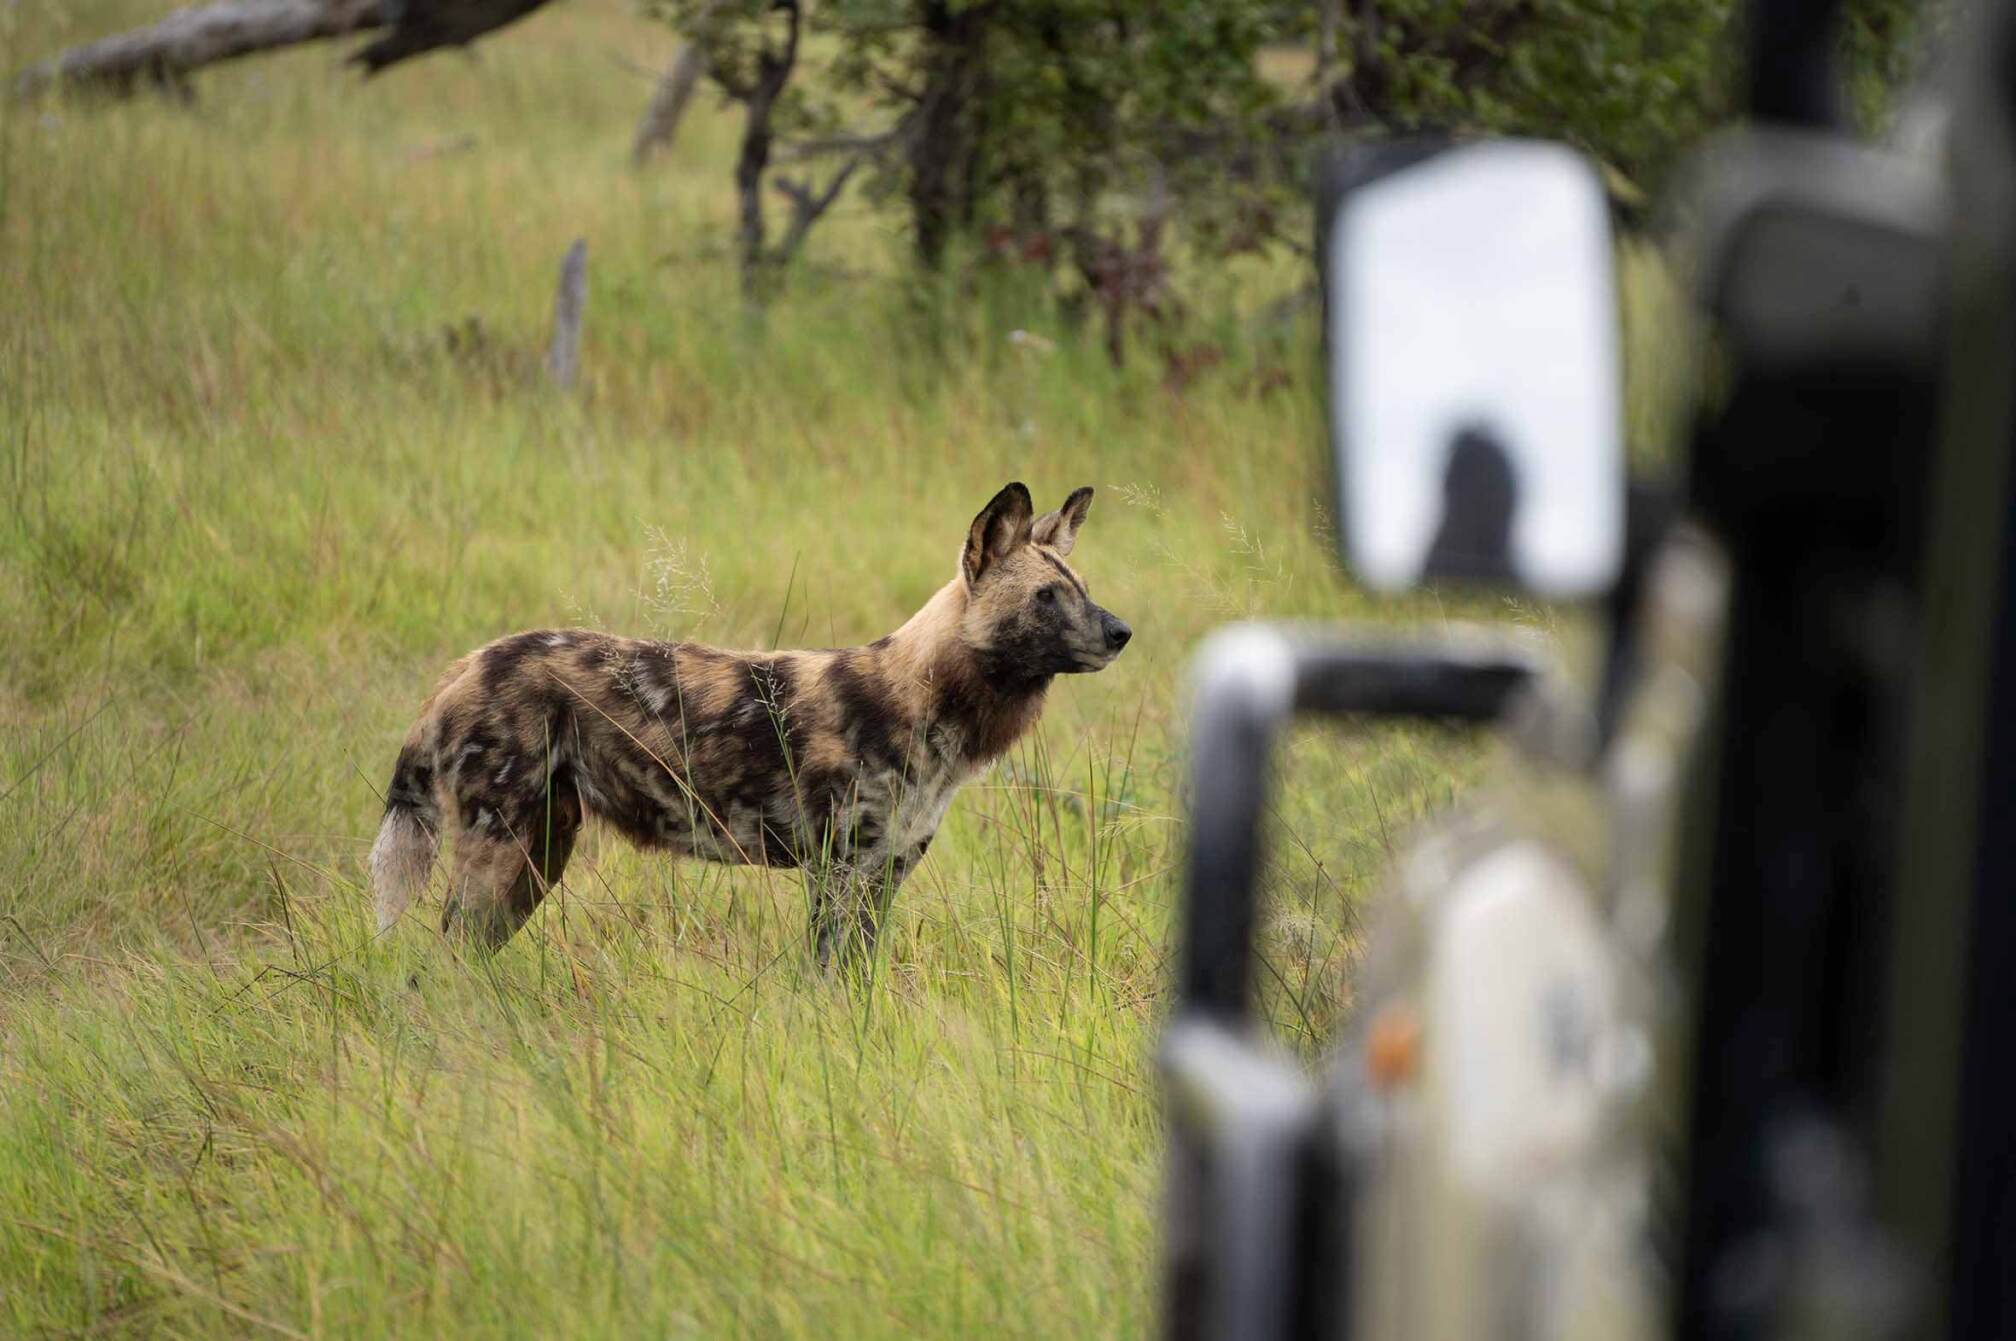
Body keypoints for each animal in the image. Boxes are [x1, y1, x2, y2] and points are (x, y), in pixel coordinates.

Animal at [370, 481, 1128, 963]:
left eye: (1084, 590)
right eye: (1046, 597)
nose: (1121, 632)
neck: (925, 701)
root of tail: (466, 665)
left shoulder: (882, 877)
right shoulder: (839, 875)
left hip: (538, 853)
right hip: (501, 851)